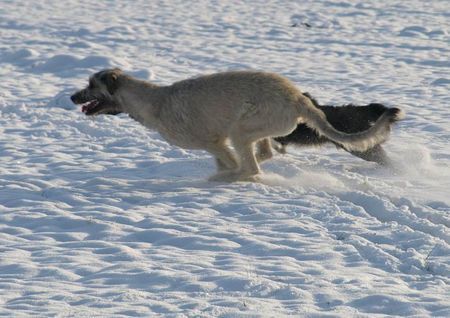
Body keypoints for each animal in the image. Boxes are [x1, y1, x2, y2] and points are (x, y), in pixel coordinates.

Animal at [71, 69, 404, 181]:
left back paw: (231, 178)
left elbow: (230, 164)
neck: (153, 101)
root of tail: (298, 97)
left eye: (91, 85)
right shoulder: (217, 145)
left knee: (252, 167)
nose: (71, 97)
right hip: (257, 130)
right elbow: (227, 162)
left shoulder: (216, 142)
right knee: (264, 155)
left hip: (243, 129)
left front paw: (222, 177)